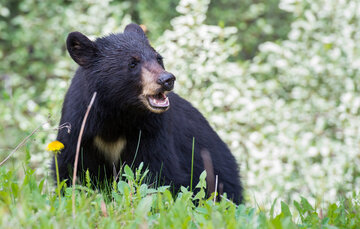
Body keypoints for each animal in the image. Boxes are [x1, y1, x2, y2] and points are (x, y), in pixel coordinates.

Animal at [52, 23, 243, 203]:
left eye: (159, 58)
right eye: (132, 63)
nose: (167, 79)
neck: (116, 113)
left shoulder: (151, 130)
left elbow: (156, 171)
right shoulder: (80, 127)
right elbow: (72, 168)